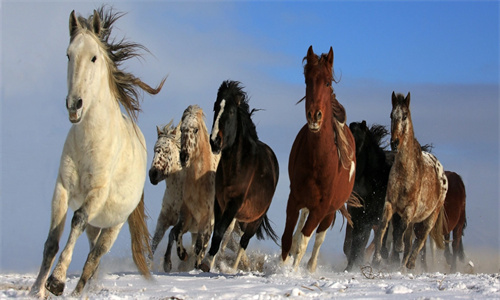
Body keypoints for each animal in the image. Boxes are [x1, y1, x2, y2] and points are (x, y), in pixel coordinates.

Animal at [29, 7, 165, 298]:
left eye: (93, 57)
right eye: (68, 55)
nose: (74, 105)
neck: (89, 143)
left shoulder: (97, 193)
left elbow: (76, 221)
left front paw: (56, 281)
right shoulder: (62, 188)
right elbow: (51, 240)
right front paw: (36, 289)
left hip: (114, 225)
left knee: (94, 257)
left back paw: (78, 291)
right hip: (97, 224)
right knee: (91, 250)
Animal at [200, 79, 282, 272]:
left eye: (230, 111)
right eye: (215, 107)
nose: (214, 141)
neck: (236, 167)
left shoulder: (234, 203)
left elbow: (220, 231)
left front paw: (207, 263)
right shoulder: (220, 202)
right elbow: (219, 231)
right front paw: (210, 261)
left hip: (255, 219)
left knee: (244, 242)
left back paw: (233, 269)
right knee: (233, 234)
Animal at [282, 45, 360, 274]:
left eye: (327, 82)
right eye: (307, 81)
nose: (314, 115)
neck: (318, 161)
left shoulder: (322, 208)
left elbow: (305, 242)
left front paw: (290, 274)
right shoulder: (294, 198)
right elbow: (287, 238)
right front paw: (280, 267)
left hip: (330, 211)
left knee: (318, 238)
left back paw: (311, 267)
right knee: (299, 228)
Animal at [372, 91, 450, 270]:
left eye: (405, 115)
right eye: (391, 115)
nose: (395, 143)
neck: (405, 171)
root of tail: (442, 173)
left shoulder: (410, 209)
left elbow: (400, 230)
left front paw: (396, 249)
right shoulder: (390, 203)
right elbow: (383, 226)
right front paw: (377, 258)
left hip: (430, 217)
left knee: (420, 239)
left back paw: (411, 263)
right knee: (410, 240)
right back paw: (402, 264)